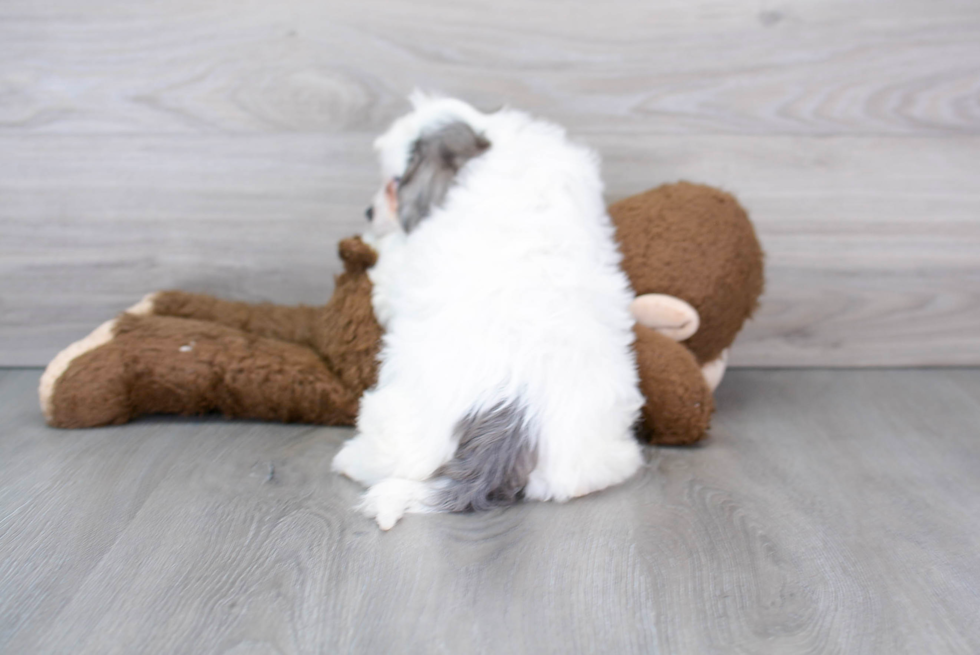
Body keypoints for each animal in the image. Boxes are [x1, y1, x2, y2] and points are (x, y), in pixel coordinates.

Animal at [334, 95, 648, 532]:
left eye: (394, 183)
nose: (367, 212)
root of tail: (512, 413)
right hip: (588, 456)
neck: (488, 146)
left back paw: (349, 460)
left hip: (397, 423)